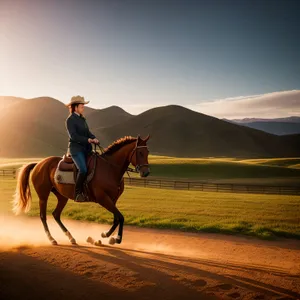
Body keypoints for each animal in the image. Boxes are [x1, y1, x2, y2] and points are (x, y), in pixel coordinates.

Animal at [12, 135, 150, 245]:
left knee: (56, 214)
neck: (110, 169)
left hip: (62, 196)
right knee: (43, 216)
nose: (146, 172)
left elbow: (117, 218)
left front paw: (106, 235)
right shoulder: (103, 198)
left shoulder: (113, 199)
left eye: (147, 152)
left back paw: (70, 237)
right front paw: (117, 238)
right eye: (140, 153)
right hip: (43, 196)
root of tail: (38, 164)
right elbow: (120, 217)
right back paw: (52, 239)